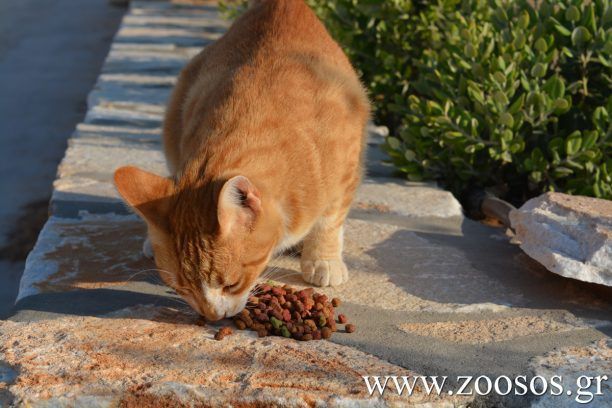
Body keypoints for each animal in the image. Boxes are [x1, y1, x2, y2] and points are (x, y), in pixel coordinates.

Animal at [114, 0, 370, 322]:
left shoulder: (346, 167)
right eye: (181, 288)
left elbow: (330, 219)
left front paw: (323, 259)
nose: (211, 317)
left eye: (231, 284)